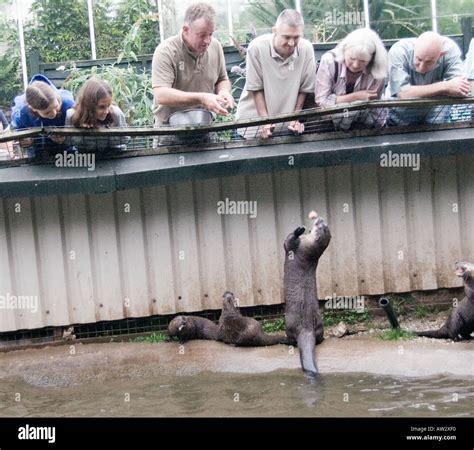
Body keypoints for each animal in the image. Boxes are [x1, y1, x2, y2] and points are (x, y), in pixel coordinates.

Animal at [284, 211, 332, 376]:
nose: (320, 218)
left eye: (321, 226)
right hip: (319, 321)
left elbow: (288, 242)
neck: (310, 251)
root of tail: (306, 328)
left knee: (292, 338)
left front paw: (299, 230)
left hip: (288, 323)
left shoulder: (298, 246)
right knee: (319, 337)